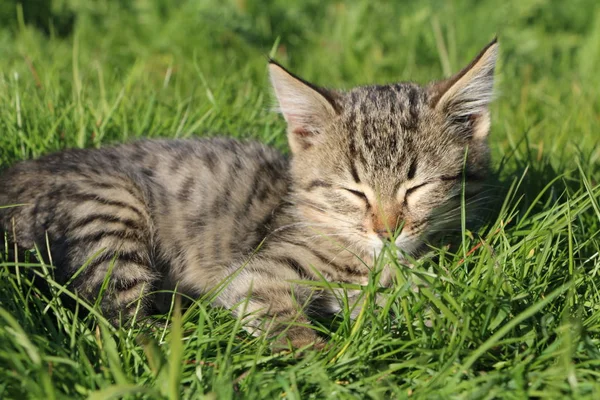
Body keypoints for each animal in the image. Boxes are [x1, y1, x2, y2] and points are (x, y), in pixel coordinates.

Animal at [0, 38, 496, 350]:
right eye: (353, 191)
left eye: (418, 186)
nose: (387, 232)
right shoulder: (256, 272)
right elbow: (286, 324)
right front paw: (323, 360)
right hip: (111, 208)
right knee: (120, 324)